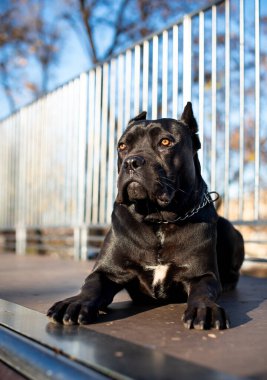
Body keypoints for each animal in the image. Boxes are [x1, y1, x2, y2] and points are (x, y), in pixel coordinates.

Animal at [47, 103, 245, 330]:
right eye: (122, 146)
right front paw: (76, 302)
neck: (159, 219)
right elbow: (92, 285)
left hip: (230, 230)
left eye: (165, 142)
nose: (132, 162)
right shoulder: (108, 271)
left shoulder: (202, 274)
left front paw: (205, 308)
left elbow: (205, 291)